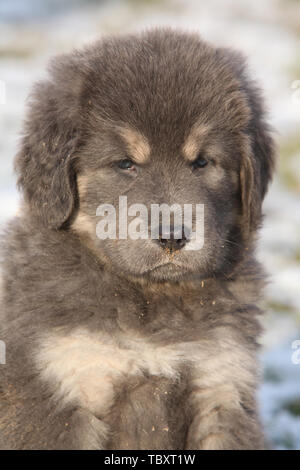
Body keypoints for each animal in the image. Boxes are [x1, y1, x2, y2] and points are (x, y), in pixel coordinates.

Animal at [0, 27, 276, 450]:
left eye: (202, 161)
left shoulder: (220, 386)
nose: (173, 237)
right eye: (126, 163)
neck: (150, 297)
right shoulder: (63, 391)